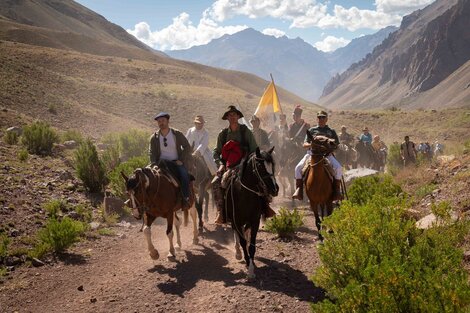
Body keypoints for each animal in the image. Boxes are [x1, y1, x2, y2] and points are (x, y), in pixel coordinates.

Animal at [225, 146, 278, 278]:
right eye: (260, 166)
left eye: (272, 165)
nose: (275, 189)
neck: (245, 195)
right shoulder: (237, 220)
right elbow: (243, 242)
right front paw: (248, 266)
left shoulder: (255, 221)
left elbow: (252, 245)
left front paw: (251, 265)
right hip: (234, 221)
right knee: (237, 234)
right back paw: (238, 253)